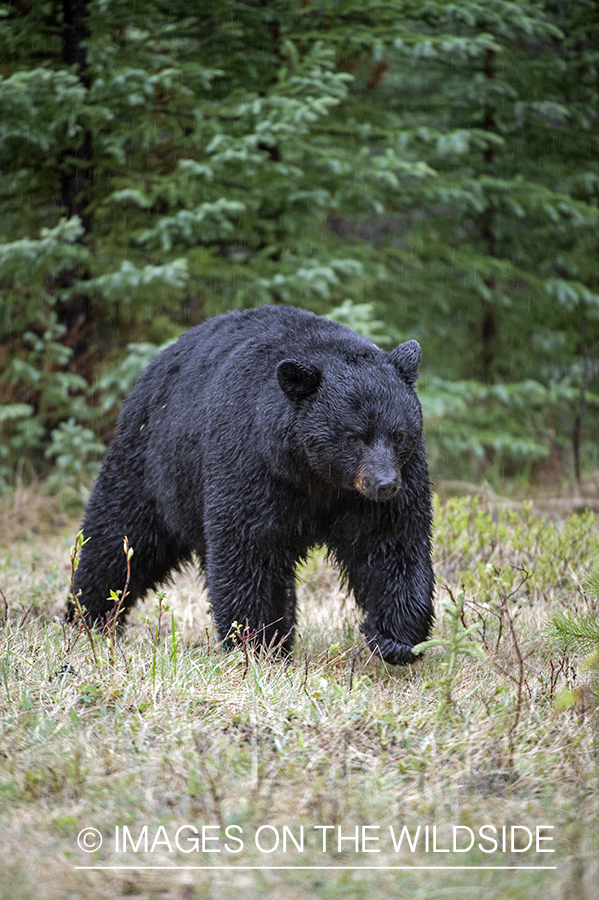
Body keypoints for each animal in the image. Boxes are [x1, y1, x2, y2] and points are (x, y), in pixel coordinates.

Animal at [71, 306, 436, 664]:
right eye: (353, 437)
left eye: (397, 434)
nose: (384, 484)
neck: (316, 477)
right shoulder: (251, 464)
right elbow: (249, 550)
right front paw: (258, 644)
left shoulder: (385, 485)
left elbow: (390, 543)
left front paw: (395, 639)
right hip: (151, 463)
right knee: (118, 536)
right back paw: (87, 619)